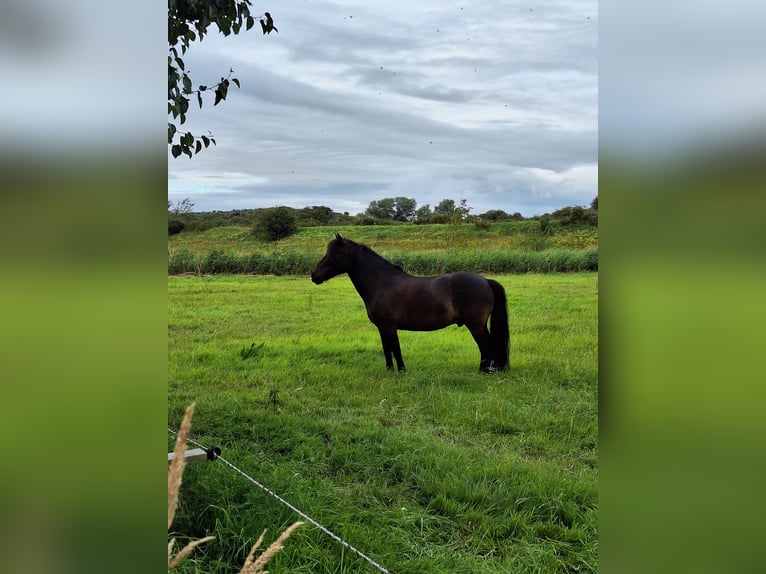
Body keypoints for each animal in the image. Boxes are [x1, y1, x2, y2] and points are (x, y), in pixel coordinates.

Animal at [310, 233, 510, 373]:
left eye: (334, 253)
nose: (314, 275)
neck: (382, 282)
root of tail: (485, 280)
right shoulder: (382, 328)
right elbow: (387, 350)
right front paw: (390, 371)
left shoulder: (390, 326)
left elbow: (396, 349)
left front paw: (401, 371)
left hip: (476, 325)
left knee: (486, 347)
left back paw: (484, 372)